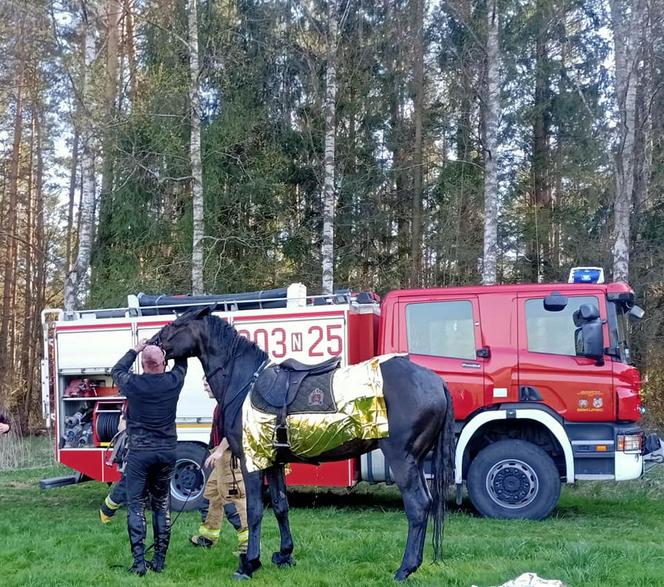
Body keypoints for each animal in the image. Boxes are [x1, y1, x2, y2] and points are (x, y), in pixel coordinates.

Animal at [154, 310, 456, 580]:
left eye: (177, 325)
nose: (152, 343)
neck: (244, 383)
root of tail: (435, 381)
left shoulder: (252, 462)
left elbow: (254, 511)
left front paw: (249, 564)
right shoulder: (273, 462)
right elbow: (280, 505)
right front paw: (284, 555)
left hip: (402, 459)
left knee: (417, 506)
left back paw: (405, 569)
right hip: (417, 460)